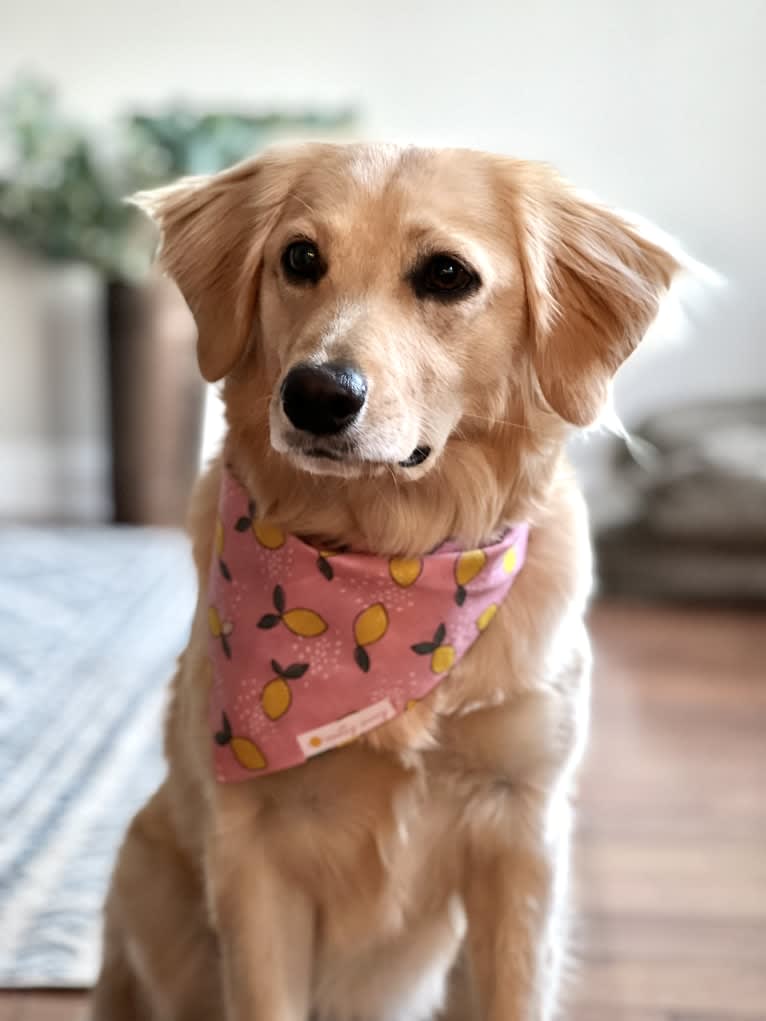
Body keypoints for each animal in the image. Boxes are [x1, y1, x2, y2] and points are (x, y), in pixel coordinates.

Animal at [91, 143, 682, 1021]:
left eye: (446, 274)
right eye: (300, 258)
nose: (315, 394)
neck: (384, 570)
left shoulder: (521, 832)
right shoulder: (252, 850)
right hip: (143, 869)